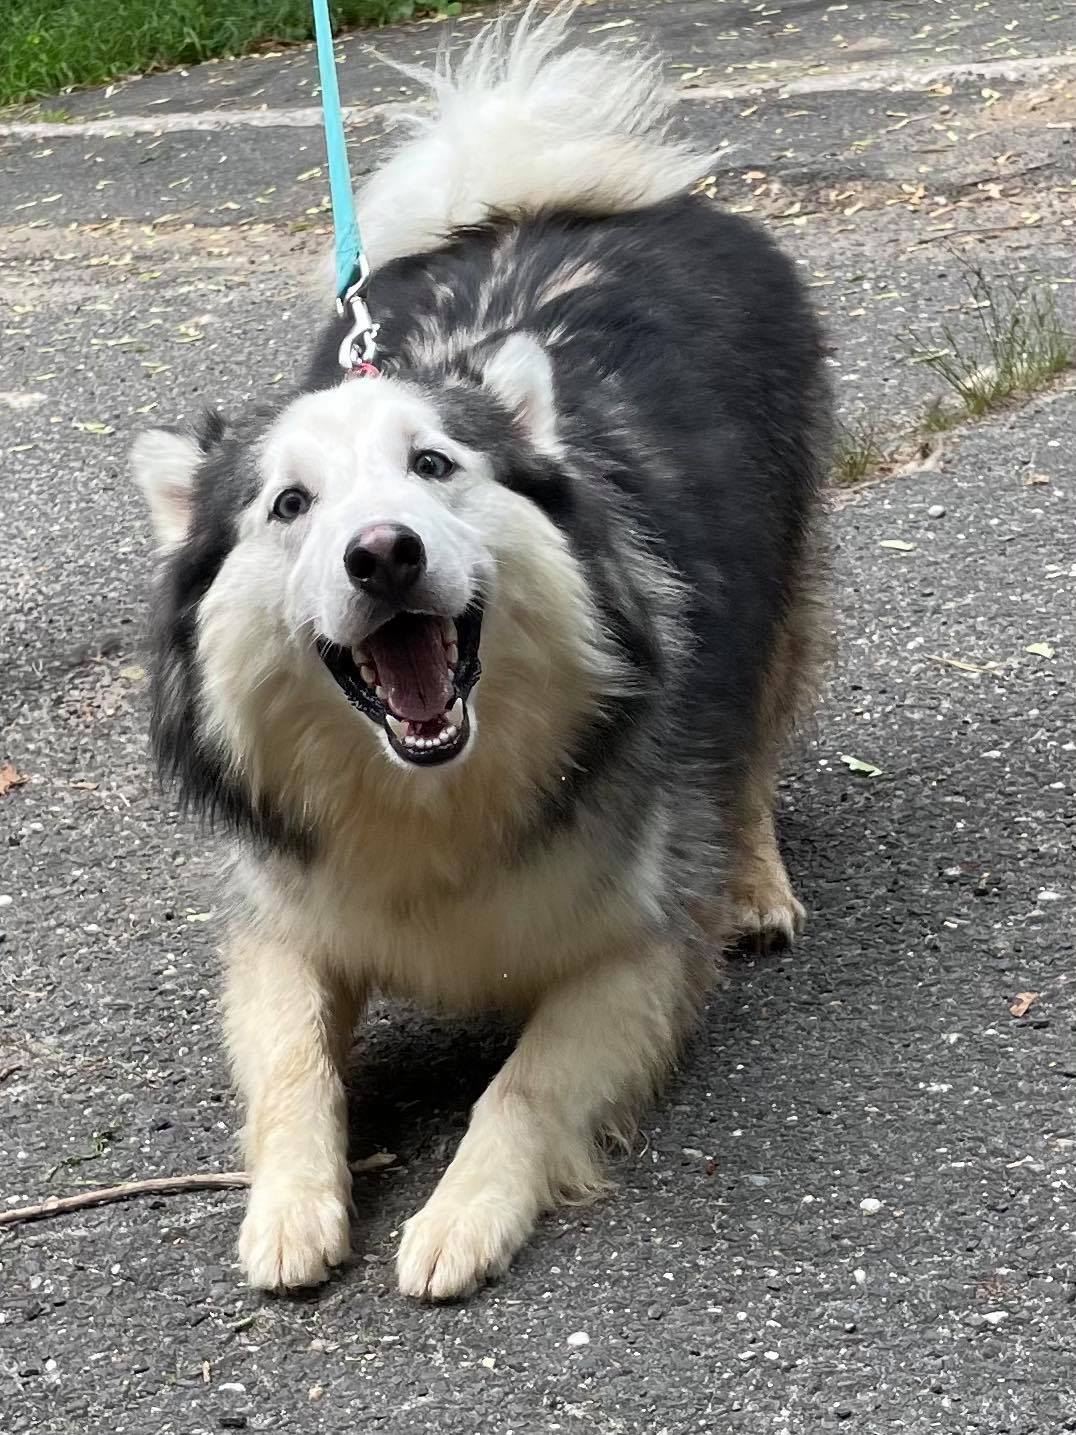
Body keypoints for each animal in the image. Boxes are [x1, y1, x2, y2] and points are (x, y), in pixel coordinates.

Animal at [128, 5, 832, 1302]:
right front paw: (290, 1201)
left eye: (433, 465)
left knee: (750, 748)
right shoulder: (285, 920)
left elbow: (523, 1085)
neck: (431, 796)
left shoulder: (635, 949)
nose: (383, 554)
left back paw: (755, 879)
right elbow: (291, 1056)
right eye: (288, 505)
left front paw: (465, 1211)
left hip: (777, 580)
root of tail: (531, 199)